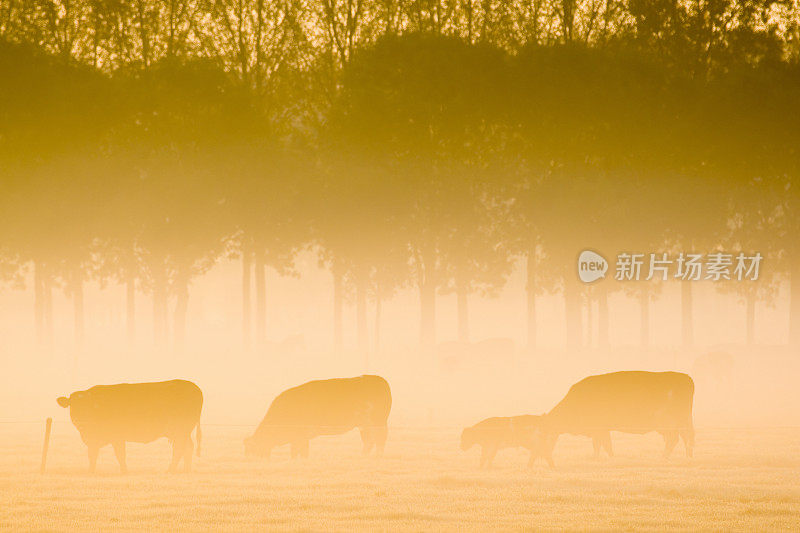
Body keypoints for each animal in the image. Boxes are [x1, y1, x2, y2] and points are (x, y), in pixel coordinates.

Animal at [55, 378, 202, 474]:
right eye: (73, 406)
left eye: (86, 405)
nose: (80, 419)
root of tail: (194, 386)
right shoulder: (94, 440)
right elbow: (92, 455)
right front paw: (91, 471)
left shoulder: (117, 437)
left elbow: (120, 454)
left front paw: (124, 471)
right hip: (182, 432)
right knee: (187, 447)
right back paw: (186, 470)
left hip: (180, 430)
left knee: (179, 448)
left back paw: (170, 470)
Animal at [245, 374, 392, 458]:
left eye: (253, 450)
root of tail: (378, 379)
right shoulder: (298, 437)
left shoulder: (300, 436)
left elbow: (299, 452)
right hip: (364, 425)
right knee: (369, 441)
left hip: (378, 422)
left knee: (380, 440)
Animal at [540, 370, 696, 462]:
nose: (543, 454)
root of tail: (686, 377)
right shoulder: (603, 430)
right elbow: (606, 445)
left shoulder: (598, 428)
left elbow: (600, 445)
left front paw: (596, 458)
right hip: (683, 421)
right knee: (686, 438)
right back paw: (687, 457)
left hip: (669, 422)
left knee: (674, 438)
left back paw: (663, 457)